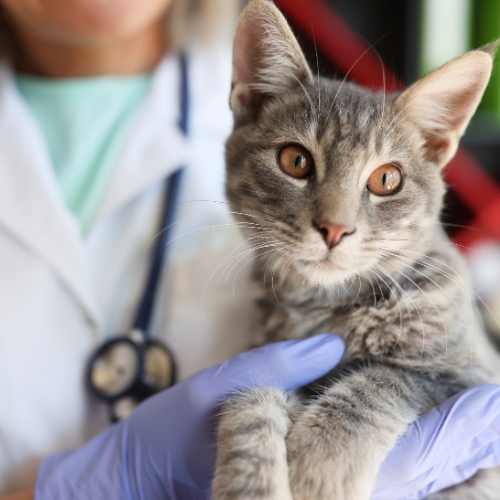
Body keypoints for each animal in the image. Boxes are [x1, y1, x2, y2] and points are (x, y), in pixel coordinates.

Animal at [213, 0, 500, 500]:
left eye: (387, 179)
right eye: (295, 160)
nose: (334, 228)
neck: (328, 307)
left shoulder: (470, 380)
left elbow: (381, 382)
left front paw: (319, 464)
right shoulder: (267, 353)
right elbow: (250, 393)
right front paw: (249, 480)